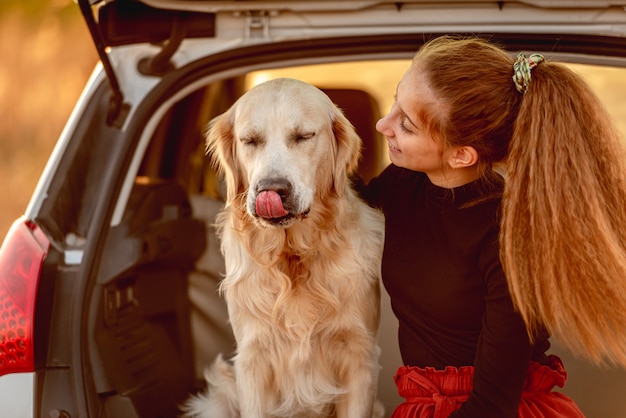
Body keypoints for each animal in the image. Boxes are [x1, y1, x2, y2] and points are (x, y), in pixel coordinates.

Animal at [183, 76, 382, 416]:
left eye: (303, 136)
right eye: (250, 140)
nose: (272, 189)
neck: (293, 257)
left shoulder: (360, 357)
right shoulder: (253, 360)